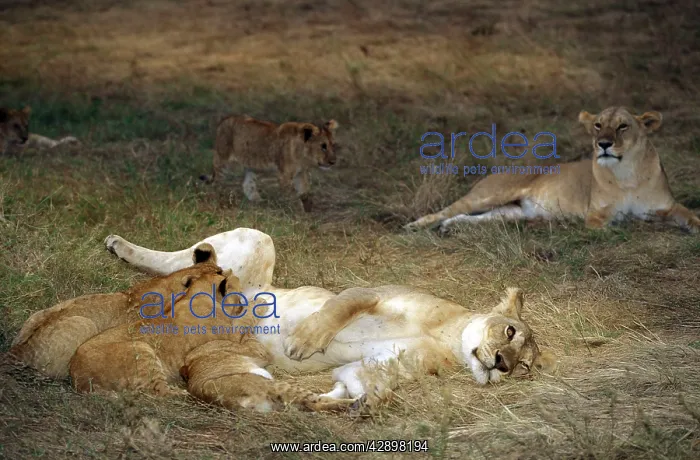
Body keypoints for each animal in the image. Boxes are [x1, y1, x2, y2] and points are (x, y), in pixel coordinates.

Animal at [101, 228, 557, 408]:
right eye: (510, 331)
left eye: (525, 367)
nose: (502, 365)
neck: (448, 340)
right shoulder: (374, 292)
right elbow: (339, 308)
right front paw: (302, 342)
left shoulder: (390, 361)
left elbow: (365, 377)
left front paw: (359, 400)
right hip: (256, 241)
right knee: (178, 260)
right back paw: (120, 246)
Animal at [200, 115, 339, 212]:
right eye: (323, 146)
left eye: (332, 144)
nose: (333, 162)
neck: (303, 156)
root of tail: (223, 121)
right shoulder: (284, 175)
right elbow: (293, 196)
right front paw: (298, 212)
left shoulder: (301, 173)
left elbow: (304, 192)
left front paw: (308, 210)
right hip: (223, 160)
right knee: (217, 181)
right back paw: (216, 198)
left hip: (251, 166)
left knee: (247, 185)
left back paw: (258, 202)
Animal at [404, 107, 700, 234]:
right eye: (598, 125)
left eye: (623, 126)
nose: (603, 144)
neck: (627, 172)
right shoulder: (596, 216)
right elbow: (618, 223)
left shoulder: (668, 205)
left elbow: (690, 215)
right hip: (488, 195)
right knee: (445, 210)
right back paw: (415, 225)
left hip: (509, 213)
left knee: (470, 218)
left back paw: (449, 227)